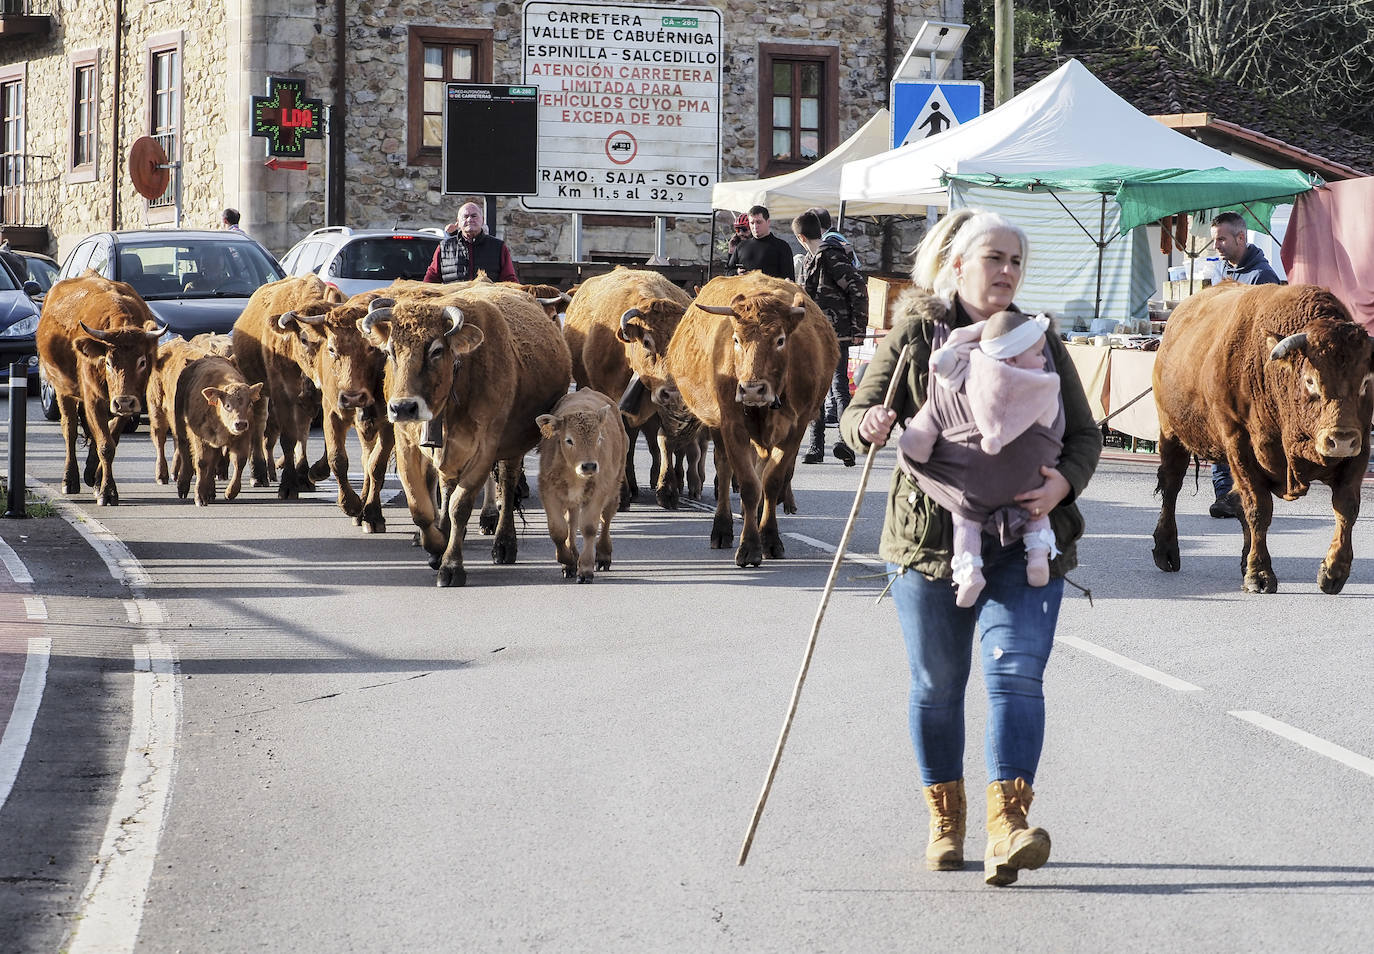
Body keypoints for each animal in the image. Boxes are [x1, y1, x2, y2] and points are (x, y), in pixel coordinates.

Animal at [230, 272, 343, 497]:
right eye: (304, 339)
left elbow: (322, 434)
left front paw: (314, 472)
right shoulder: (281, 392)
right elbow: (288, 437)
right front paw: (288, 484)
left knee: (303, 430)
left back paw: (303, 475)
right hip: (258, 389)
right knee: (258, 425)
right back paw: (258, 473)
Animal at [357, 280, 571, 585]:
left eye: (436, 350)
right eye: (390, 351)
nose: (403, 407)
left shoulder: (484, 449)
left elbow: (461, 505)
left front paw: (451, 565)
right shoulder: (407, 442)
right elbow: (420, 507)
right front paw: (435, 545)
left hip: (511, 447)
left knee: (507, 483)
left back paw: (504, 544)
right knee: (446, 485)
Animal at [535, 387, 629, 582]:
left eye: (599, 438)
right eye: (569, 440)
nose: (589, 466)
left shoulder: (598, 492)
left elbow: (589, 527)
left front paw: (585, 569)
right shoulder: (548, 491)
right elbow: (558, 529)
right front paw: (567, 560)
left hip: (614, 489)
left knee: (606, 519)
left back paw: (603, 556)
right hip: (572, 502)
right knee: (571, 523)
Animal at [563, 265, 697, 511]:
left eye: (679, 344)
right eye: (646, 342)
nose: (672, 392)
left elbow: (664, 440)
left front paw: (667, 490)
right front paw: (622, 493)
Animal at [1148, 280, 1374, 593]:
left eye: (1365, 382)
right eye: (1310, 381)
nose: (1340, 440)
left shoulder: (1360, 448)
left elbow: (1346, 507)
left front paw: (1333, 572)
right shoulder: (1239, 444)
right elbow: (1258, 509)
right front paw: (1260, 575)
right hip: (1172, 434)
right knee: (1171, 487)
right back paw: (1166, 551)